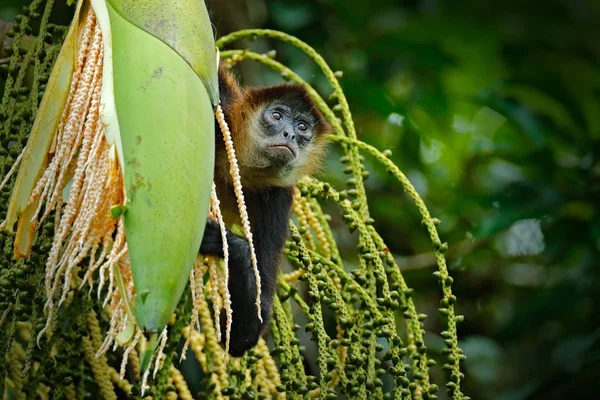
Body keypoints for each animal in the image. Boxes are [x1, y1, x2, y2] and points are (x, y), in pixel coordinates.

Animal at [202, 66, 332, 356]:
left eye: (303, 127)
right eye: (277, 116)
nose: (290, 135)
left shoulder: (278, 197)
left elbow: (243, 335)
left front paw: (230, 246)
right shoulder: (221, 114)